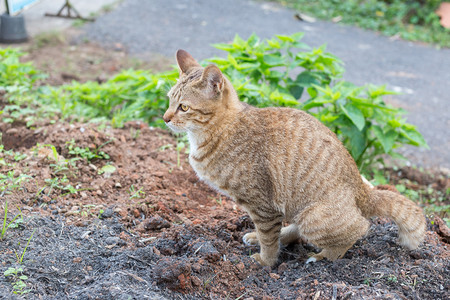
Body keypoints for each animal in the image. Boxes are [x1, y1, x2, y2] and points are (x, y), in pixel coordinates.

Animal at [163, 49, 428, 268]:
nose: (165, 118)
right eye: (169, 100)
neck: (221, 129)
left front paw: (266, 262)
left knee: (360, 228)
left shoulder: (263, 206)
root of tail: (363, 192)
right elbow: (269, 235)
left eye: (184, 107)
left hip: (313, 217)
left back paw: (323, 256)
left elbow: (269, 240)